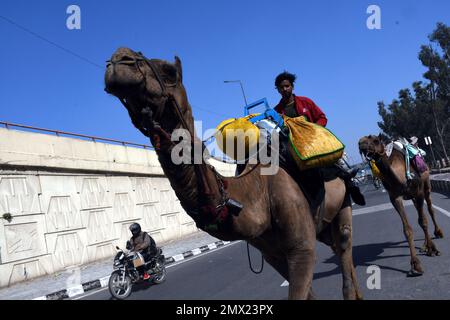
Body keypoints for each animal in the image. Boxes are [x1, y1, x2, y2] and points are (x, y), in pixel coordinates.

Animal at [104, 47, 362, 300]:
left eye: (169, 72)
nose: (118, 59)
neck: (256, 193)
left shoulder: (301, 248)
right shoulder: (272, 254)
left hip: (343, 203)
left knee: (344, 247)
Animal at [358, 134, 442, 276]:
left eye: (375, 140)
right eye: (362, 141)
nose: (361, 143)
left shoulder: (419, 191)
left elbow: (423, 221)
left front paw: (432, 249)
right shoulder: (395, 197)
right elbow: (407, 229)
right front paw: (415, 265)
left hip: (426, 186)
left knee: (429, 209)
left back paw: (438, 233)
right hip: (412, 197)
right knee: (421, 212)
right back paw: (424, 245)